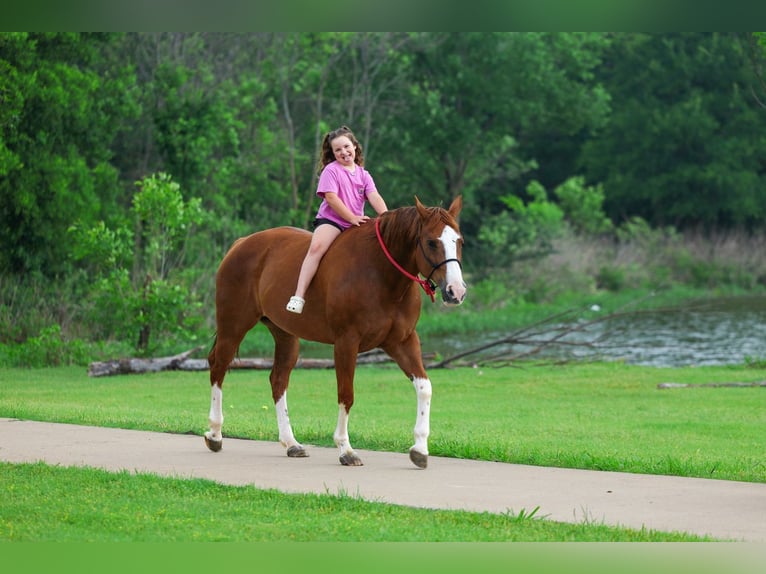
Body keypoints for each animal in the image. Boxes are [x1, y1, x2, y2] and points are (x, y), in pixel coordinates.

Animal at [204, 196, 466, 468]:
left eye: (459, 241)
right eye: (431, 242)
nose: (456, 291)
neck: (380, 274)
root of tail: (241, 244)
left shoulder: (402, 341)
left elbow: (425, 388)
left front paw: (420, 449)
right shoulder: (346, 342)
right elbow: (346, 394)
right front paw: (345, 449)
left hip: (286, 335)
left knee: (278, 379)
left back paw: (291, 442)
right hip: (234, 325)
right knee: (218, 366)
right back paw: (214, 434)